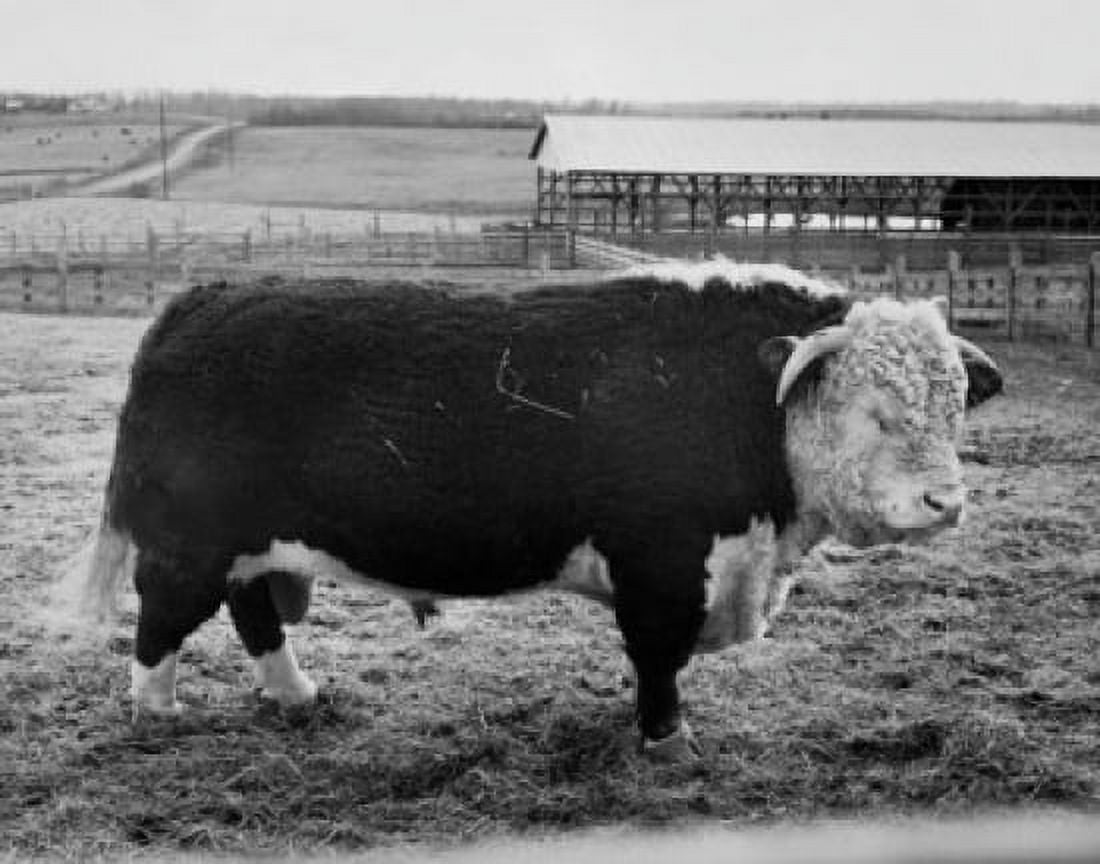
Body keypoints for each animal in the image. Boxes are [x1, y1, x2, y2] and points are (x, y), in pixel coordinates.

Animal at [71, 259, 1002, 760]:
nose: (945, 501)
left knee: (254, 611)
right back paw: (156, 712)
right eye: (875, 414)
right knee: (161, 621)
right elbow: (658, 661)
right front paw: (667, 743)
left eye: (955, 406)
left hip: (252, 544)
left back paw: (295, 693)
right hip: (189, 543)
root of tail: (204, 295)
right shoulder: (661, 568)